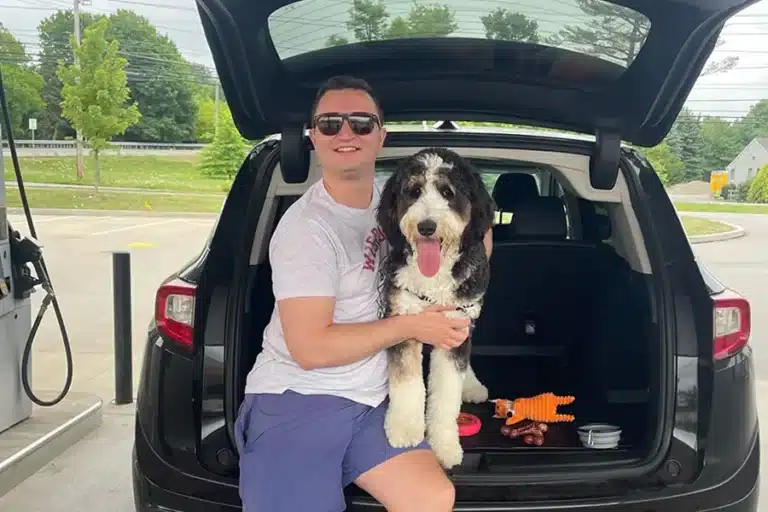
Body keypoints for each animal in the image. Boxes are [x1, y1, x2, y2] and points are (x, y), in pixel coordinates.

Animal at [376, 147, 496, 468]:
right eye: (414, 191)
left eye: (447, 192)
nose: (426, 227)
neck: (434, 277)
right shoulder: (404, 320)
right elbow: (407, 384)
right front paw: (405, 430)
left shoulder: (455, 326)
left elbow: (446, 393)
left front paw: (444, 445)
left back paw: (472, 385)